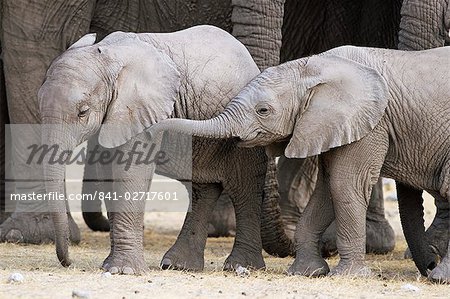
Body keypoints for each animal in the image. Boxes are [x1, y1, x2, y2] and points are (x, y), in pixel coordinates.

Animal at [37, 25, 274, 274]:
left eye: (83, 112)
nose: (68, 262)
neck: (108, 56)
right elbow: (108, 173)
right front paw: (110, 266)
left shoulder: (139, 109)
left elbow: (130, 171)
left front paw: (124, 271)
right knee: (203, 189)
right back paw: (178, 265)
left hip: (249, 129)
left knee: (244, 189)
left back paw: (240, 266)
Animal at [151, 45, 450, 282]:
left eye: (263, 110)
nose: (428, 262)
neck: (315, 67)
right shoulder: (330, 125)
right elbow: (327, 190)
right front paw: (309, 272)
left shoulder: (371, 123)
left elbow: (345, 185)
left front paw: (347, 276)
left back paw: (439, 277)